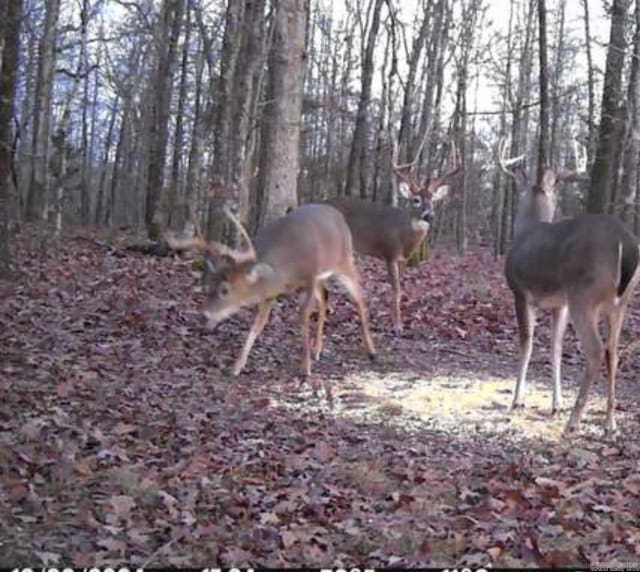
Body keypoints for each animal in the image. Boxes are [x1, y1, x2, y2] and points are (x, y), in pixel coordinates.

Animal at [165, 203, 378, 378]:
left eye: (225, 290)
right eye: (207, 286)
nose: (204, 314)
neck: (284, 270)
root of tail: (338, 215)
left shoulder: (309, 278)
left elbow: (303, 318)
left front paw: (305, 368)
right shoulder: (270, 293)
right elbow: (257, 326)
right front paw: (237, 367)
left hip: (345, 262)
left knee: (360, 298)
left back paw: (371, 350)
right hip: (322, 278)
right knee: (326, 298)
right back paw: (318, 350)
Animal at [328, 140, 458, 336]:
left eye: (433, 200)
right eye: (416, 199)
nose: (429, 215)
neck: (403, 236)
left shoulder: (403, 259)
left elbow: (400, 288)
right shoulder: (389, 253)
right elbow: (395, 288)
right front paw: (397, 326)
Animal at [500, 141, 640, 436]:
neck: (526, 229)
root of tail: (627, 243)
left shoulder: (520, 292)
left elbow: (526, 344)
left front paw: (517, 400)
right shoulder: (559, 304)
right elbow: (555, 347)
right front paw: (556, 404)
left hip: (584, 295)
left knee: (596, 351)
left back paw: (574, 422)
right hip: (620, 303)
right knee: (613, 352)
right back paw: (610, 423)